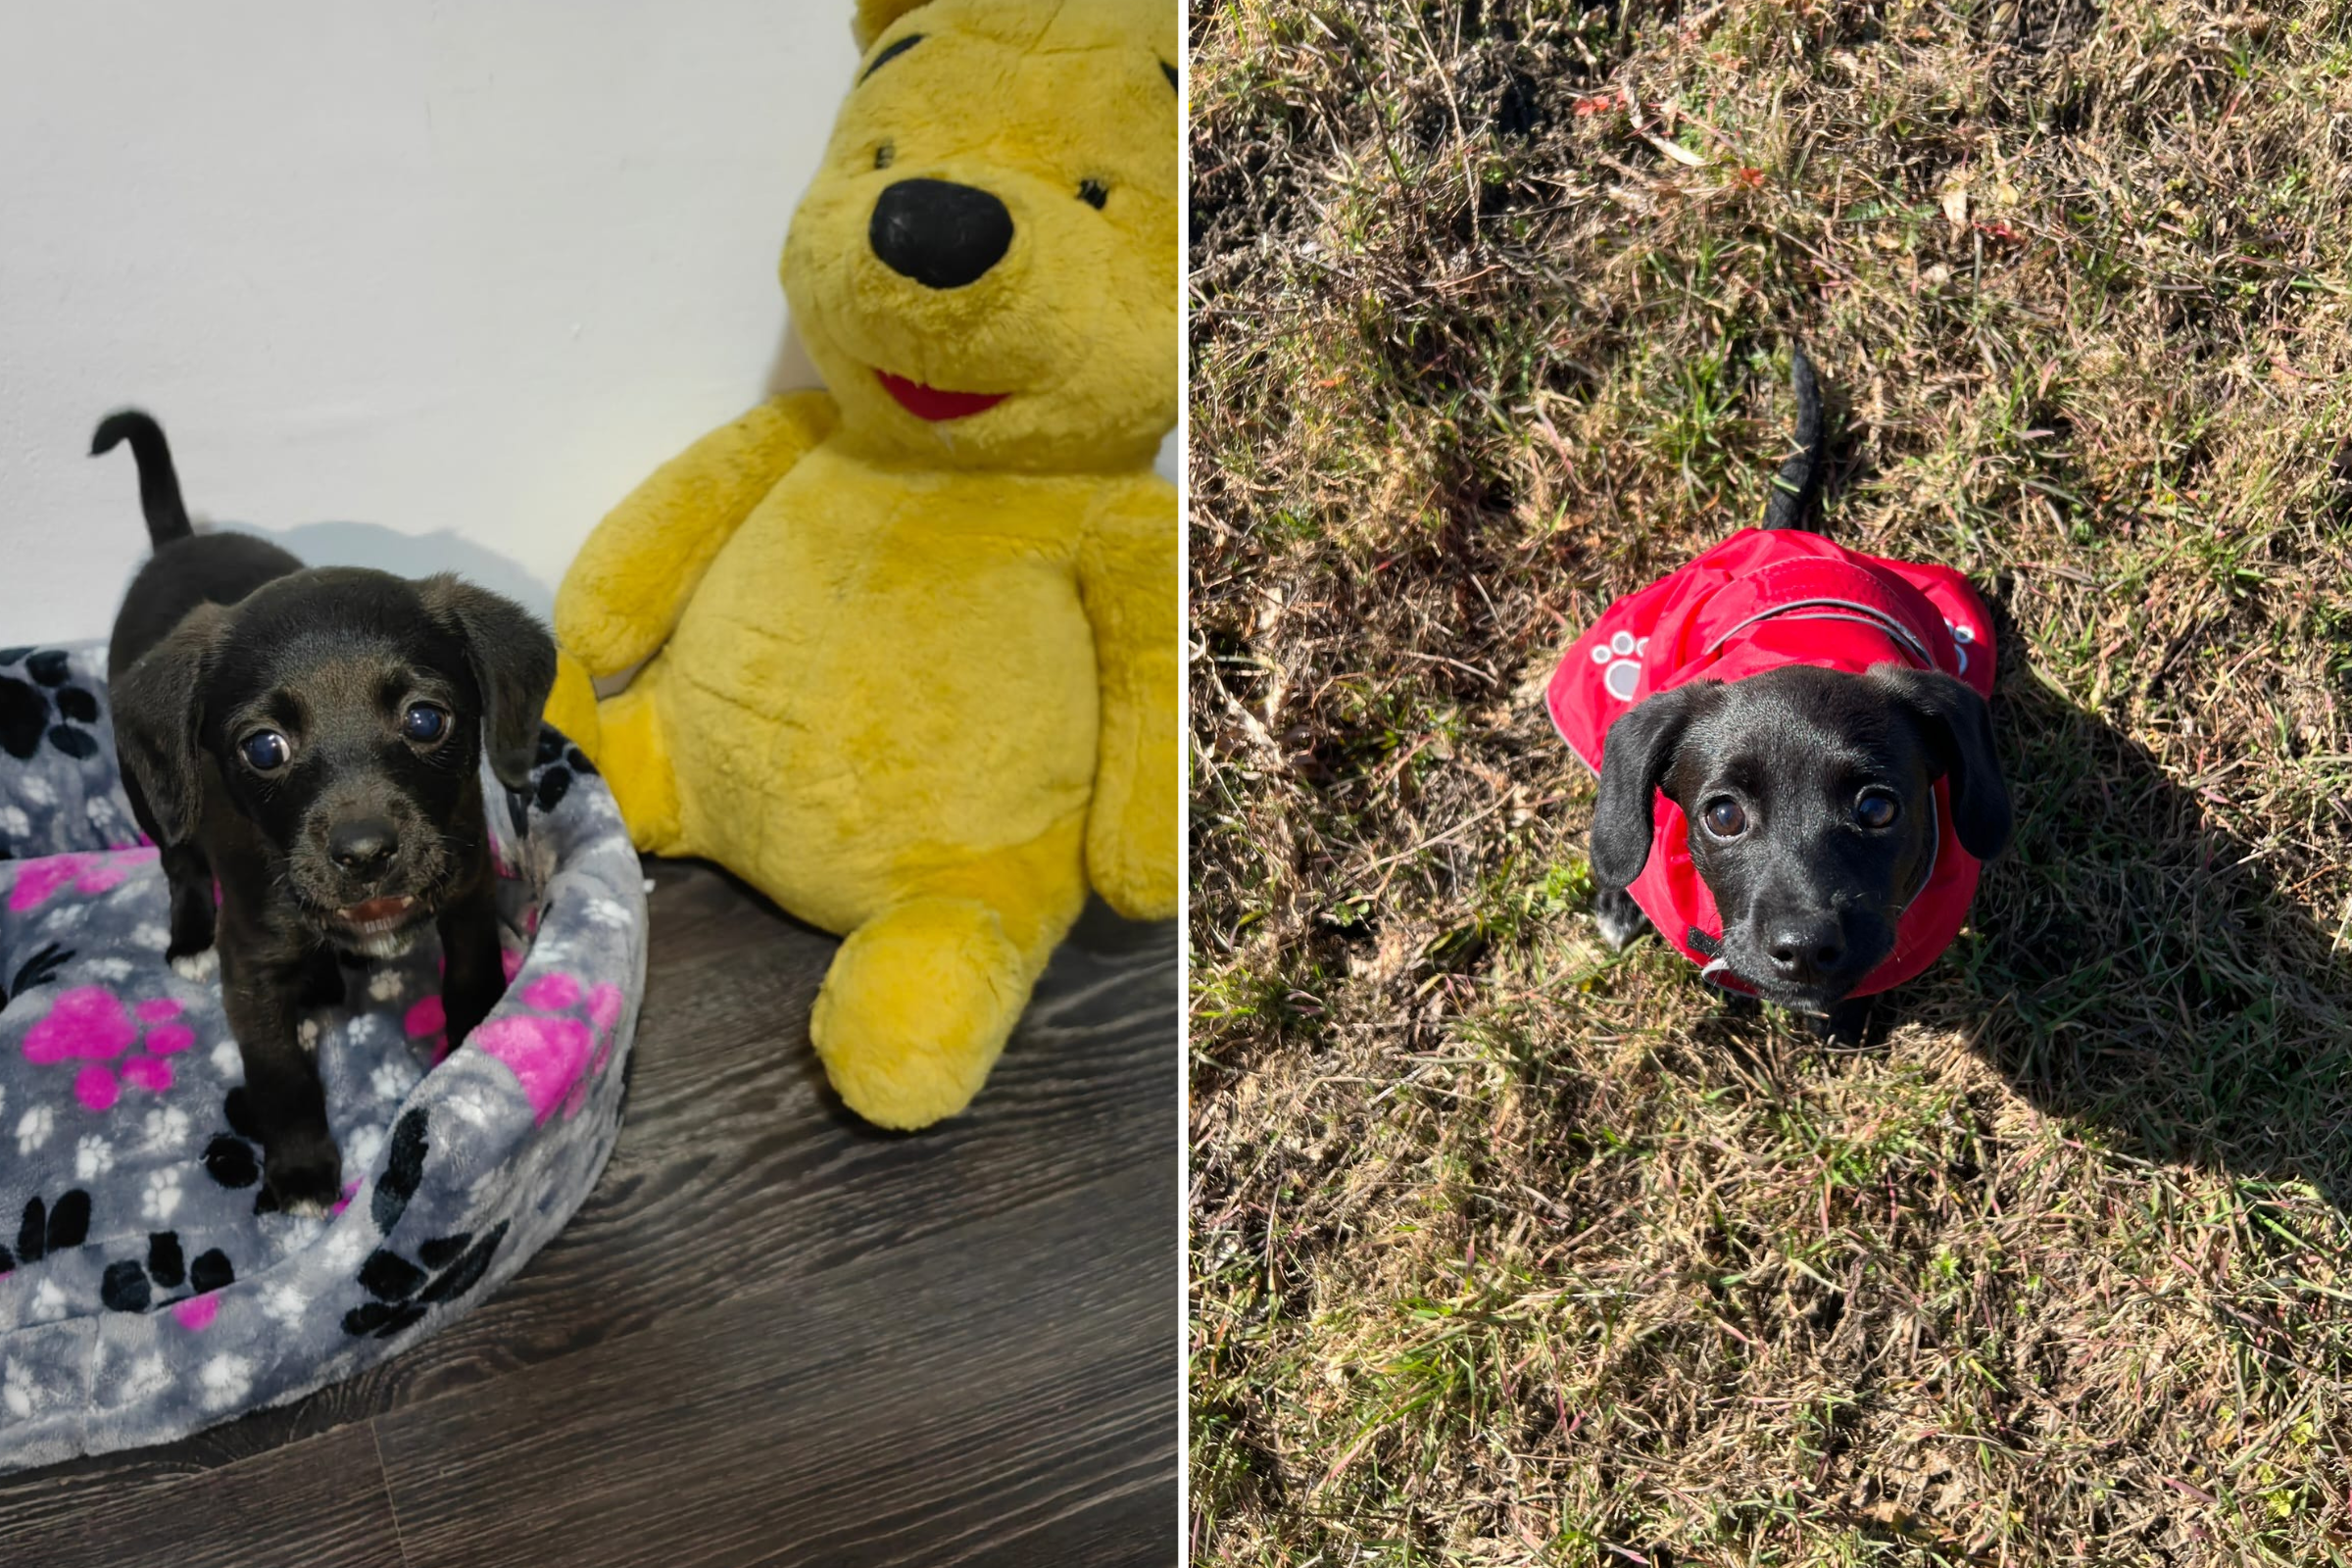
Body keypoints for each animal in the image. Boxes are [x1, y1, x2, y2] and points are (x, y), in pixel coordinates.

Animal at [96, 414, 555, 1212]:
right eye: (264, 747)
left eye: (426, 719)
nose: (366, 853)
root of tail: (179, 540)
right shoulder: (250, 958)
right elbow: (278, 1075)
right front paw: (304, 1172)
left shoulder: (466, 895)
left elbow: (469, 978)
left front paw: (469, 1056)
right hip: (150, 791)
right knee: (179, 862)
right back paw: (193, 940)